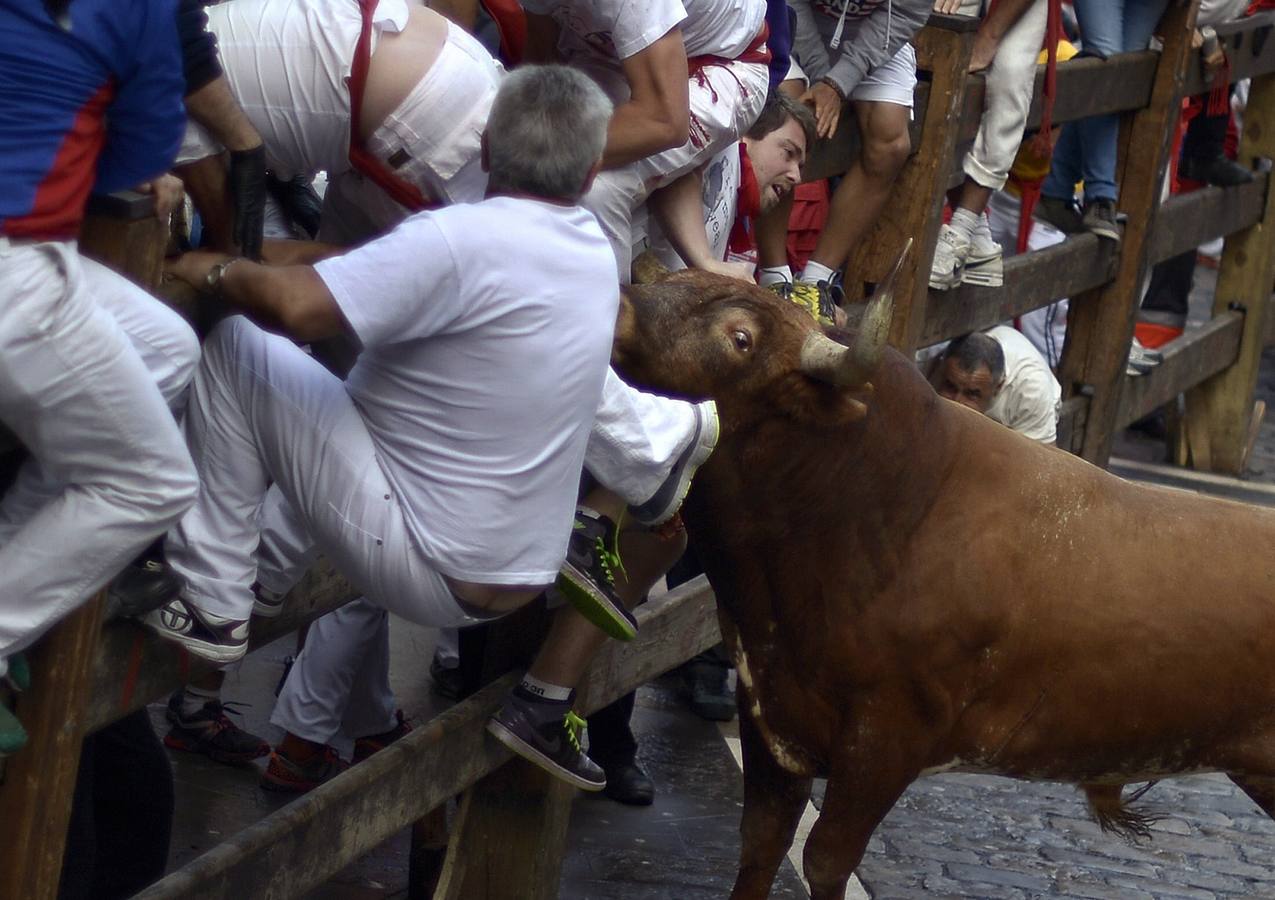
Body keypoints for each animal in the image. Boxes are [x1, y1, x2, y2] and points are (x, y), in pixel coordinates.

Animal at [612, 257, 1275, 892]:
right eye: (673, 281)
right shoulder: (769, 716)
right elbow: (759, 846)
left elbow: (825, 860)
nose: (618, 306)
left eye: (741, 338)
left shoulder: (885, 742)